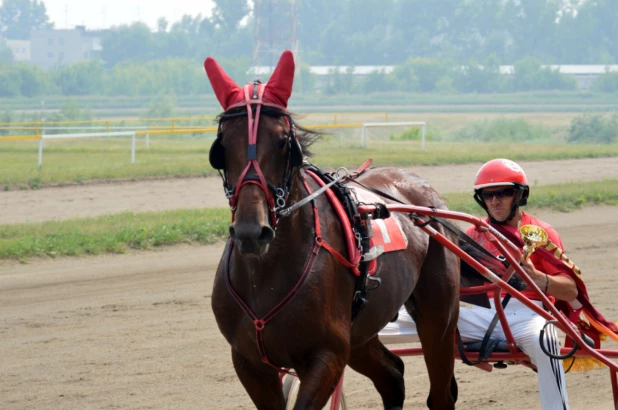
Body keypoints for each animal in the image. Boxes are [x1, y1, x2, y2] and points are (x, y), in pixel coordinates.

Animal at [206, 52, 458, 410]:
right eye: (222, 146)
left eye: (283, 142)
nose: (252, 232)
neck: (266, 273)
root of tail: (423, 189)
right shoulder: (249, 362)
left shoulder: (326, 356)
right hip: (363, 330)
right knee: (392, 375)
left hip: (438, 318)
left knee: (439, 393)